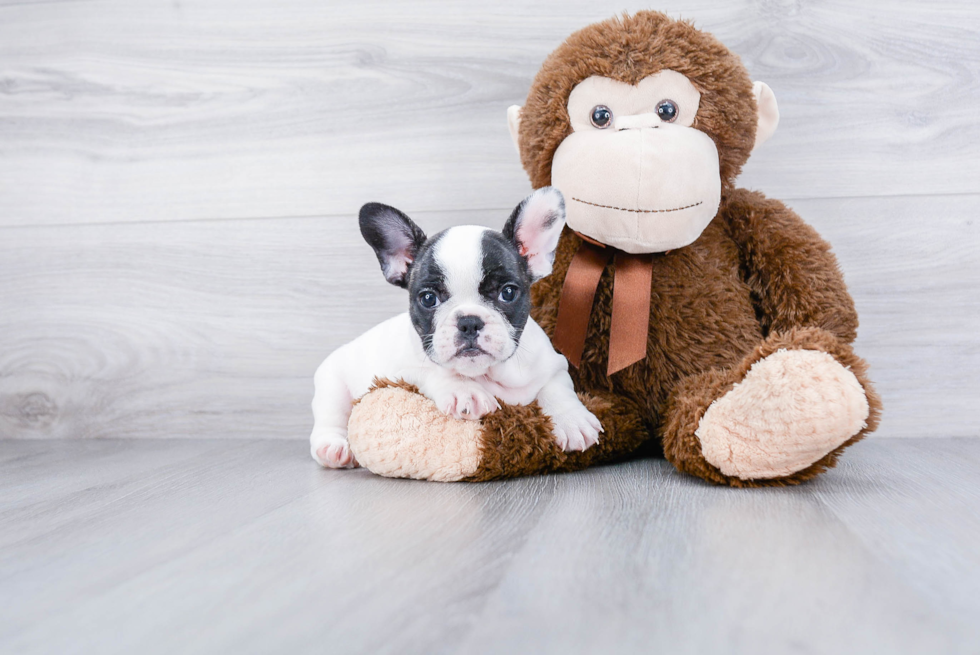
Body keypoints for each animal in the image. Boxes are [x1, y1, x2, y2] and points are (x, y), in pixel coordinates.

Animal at [314, 187, 604, 468]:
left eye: (508, 293)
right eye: (428, 298)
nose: (469, 322)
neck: (485, 374)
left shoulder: (553, 365)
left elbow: (558, 389)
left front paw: (573, 420)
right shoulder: (400, 370)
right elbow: (435, 371)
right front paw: (464, 391)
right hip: (331, 383)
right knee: (330, 418)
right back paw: (333, 448)